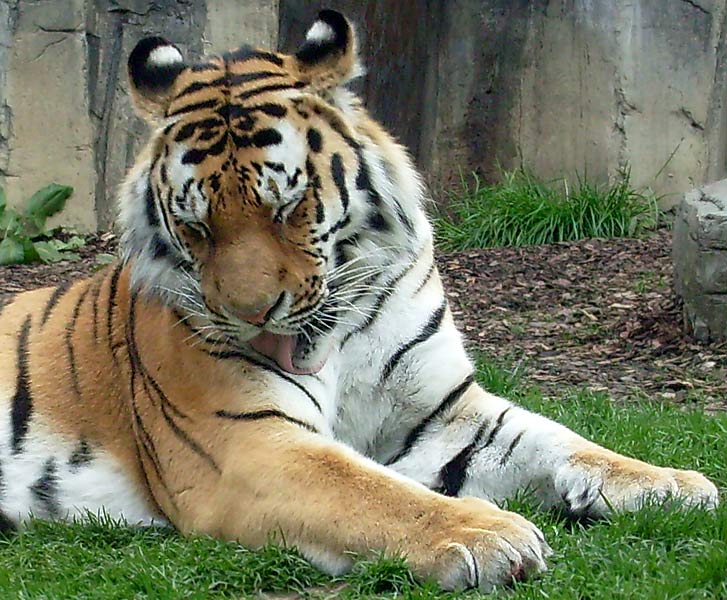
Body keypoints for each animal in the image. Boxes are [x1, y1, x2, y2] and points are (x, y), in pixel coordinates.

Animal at [0, 8, 720, 592]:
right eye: (197, 227)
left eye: (287, 207)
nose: (249, 314)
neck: (337, 332)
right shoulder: (246, 444)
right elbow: (373, 493)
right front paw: (490, 535)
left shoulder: (441, 413)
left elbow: (561, 440)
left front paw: (673, 483)